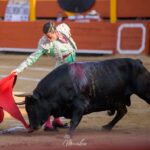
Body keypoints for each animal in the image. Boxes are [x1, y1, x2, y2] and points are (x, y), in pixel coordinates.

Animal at [16, 58, 150, 137]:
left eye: (31, 108)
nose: (32, 127)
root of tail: (138, 62)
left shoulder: (80, 106)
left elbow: (74, 120)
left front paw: (69, 135)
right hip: (116, 99)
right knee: (122, 111)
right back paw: (107, 127)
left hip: (144, 92)